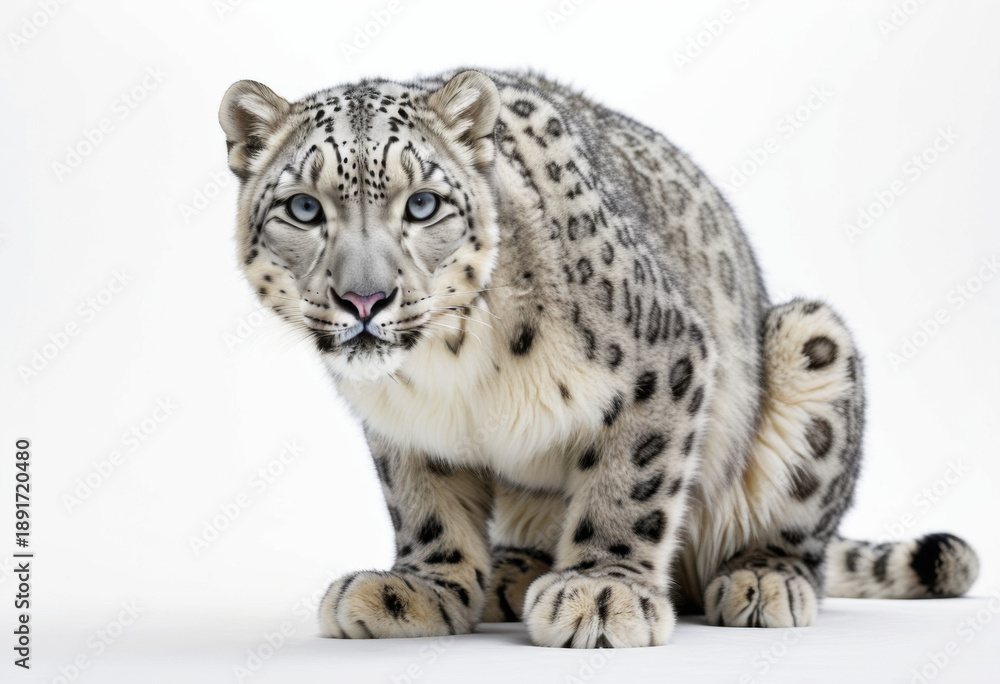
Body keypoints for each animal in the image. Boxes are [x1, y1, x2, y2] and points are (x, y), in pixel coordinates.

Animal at [218, 68, 979, 648]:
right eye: (304, 209)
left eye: (424, 205)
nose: (365, 299)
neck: (446, 368)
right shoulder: (400, 424)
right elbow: (424, 503)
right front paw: (418, 590)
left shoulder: (665, 356)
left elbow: (629, 481)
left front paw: (601, 592)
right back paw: (510, 572)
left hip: (811, 341)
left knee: (800, 541)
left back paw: (763, 579)